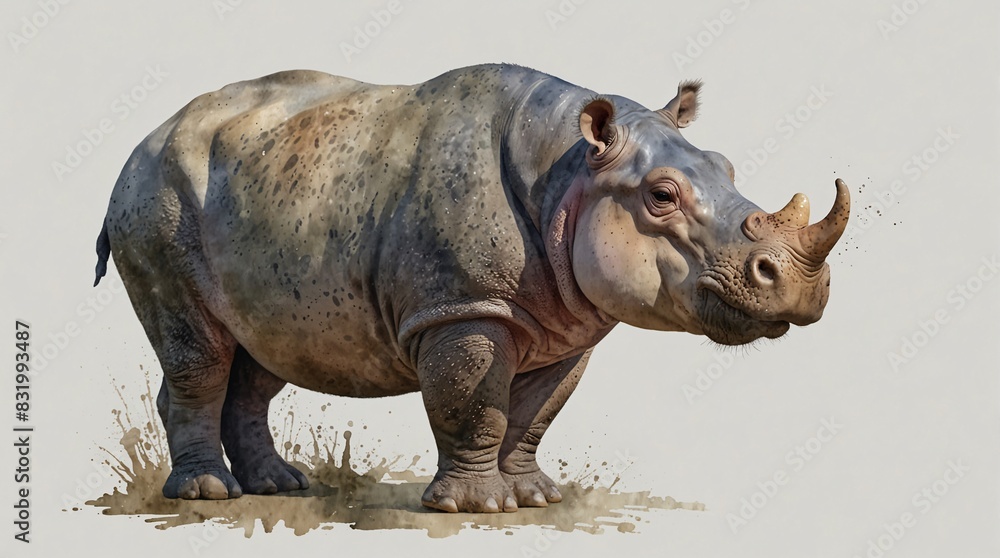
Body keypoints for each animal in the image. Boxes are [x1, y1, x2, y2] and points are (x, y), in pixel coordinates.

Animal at [94, 64, 849, 513]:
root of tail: (144, 139)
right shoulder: (461, 307)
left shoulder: (566, 322)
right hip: (155, 197)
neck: (570, 170)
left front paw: (534, 498)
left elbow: (535, 413)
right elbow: (474, 405)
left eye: (726, 169)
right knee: (199, 350)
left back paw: (279, 486)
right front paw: (476, 508)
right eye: (662, 197)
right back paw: (207, 495)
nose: (796, 287)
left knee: (261, 354)